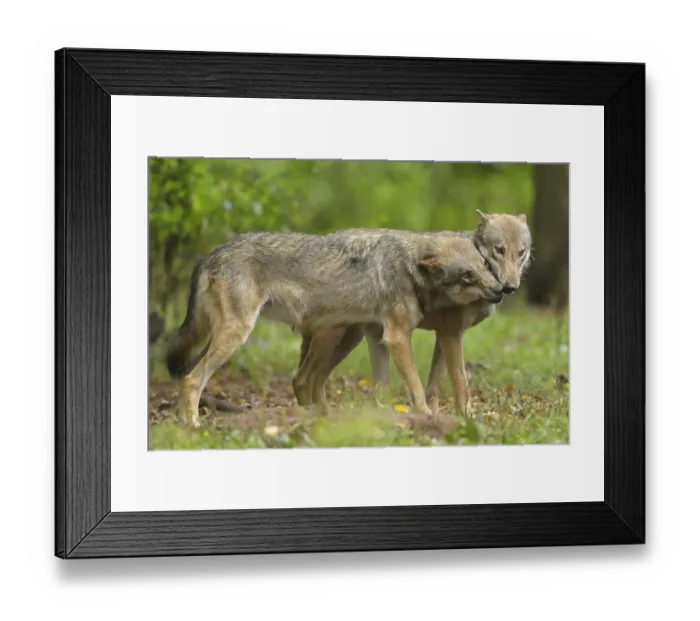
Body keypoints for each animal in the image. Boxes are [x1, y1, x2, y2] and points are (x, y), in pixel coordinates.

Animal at [165, 230, 505, 427]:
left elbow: (384, 387)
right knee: (193, 379)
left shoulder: (379, 339)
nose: (501, 290)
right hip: (241, 335)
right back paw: (193, 425)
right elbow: (417, 388)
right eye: (466, 276)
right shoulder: (397, 338)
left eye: (485, 267)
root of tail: (209, 255)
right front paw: (425, 416)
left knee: (186, 374)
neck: (409, 267)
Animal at [293, 212, 532, 416]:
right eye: (499, 250)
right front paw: (465, 417)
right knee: (303, 379)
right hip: (336, 338)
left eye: (521, 253)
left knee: (309, 380)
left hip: (350, 341)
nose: (508, 287)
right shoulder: (451, 336)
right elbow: (461, 383)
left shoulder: (444, 337)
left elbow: (434, 387)